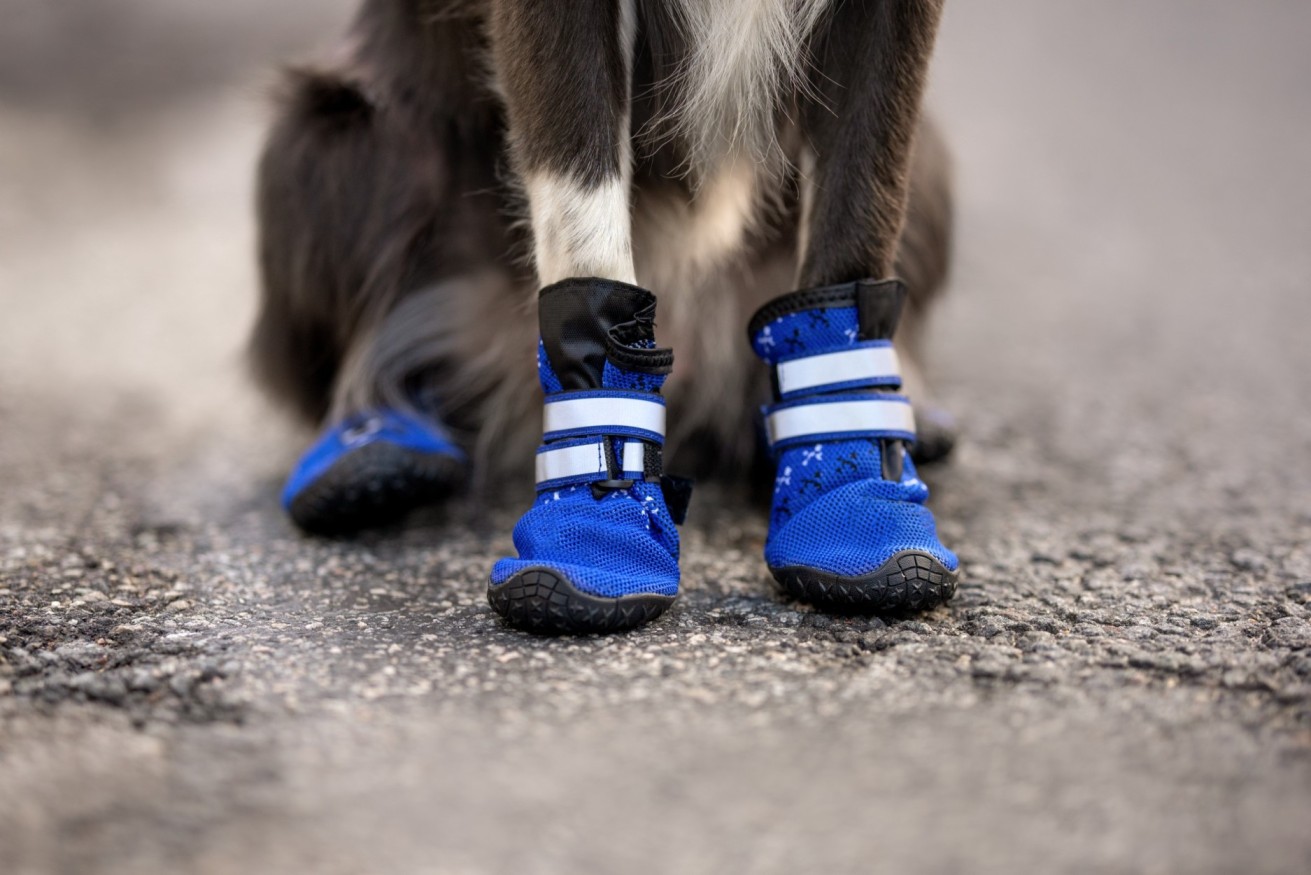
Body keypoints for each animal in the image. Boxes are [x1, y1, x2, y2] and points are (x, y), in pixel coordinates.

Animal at [250, 0, 959, 632]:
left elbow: (858, 213)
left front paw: (853, 481)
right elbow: (586, 224)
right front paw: (597, 527)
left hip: (933, 164)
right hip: (335, 136)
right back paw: (371, 451)